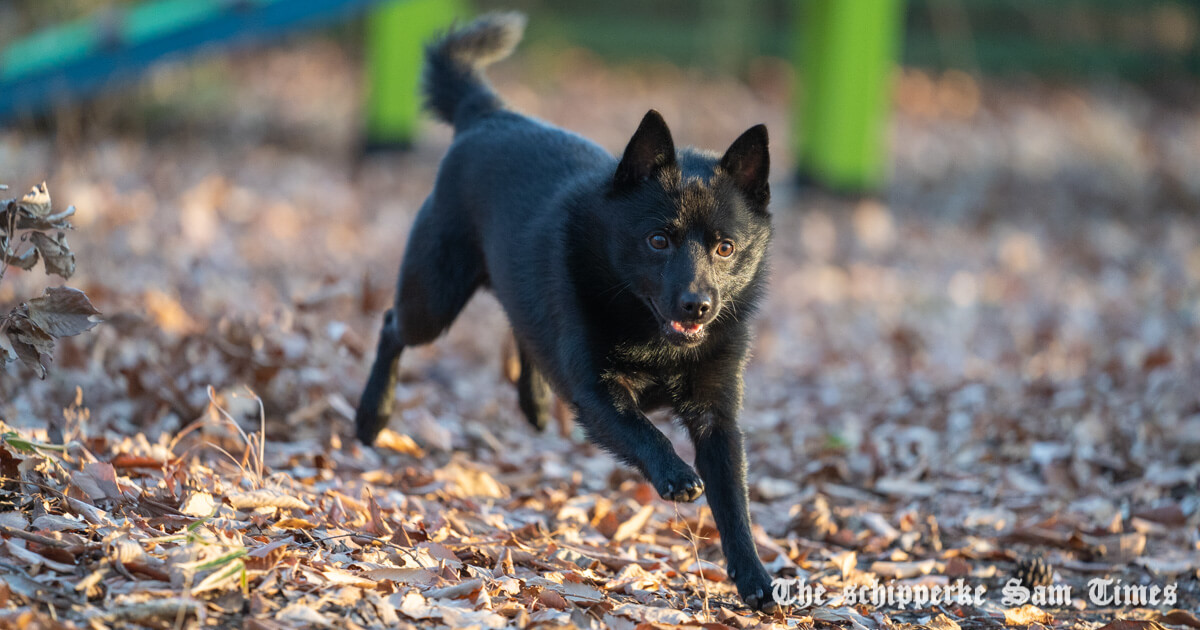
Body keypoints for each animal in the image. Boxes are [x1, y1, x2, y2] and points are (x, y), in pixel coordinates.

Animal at [350, 11, 772, 609]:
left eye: (726, 248)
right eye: (658, 240)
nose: (698, 305)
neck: (653, 336)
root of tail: (490, 114)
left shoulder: (717, 416)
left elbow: (733, 499)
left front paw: (753, 576)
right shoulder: (596, 393)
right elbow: (645, 431)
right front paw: (675, 475)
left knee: (522, 329)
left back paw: (533, 404)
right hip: (433, 298)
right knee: (392, 328)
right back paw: (372, 415)